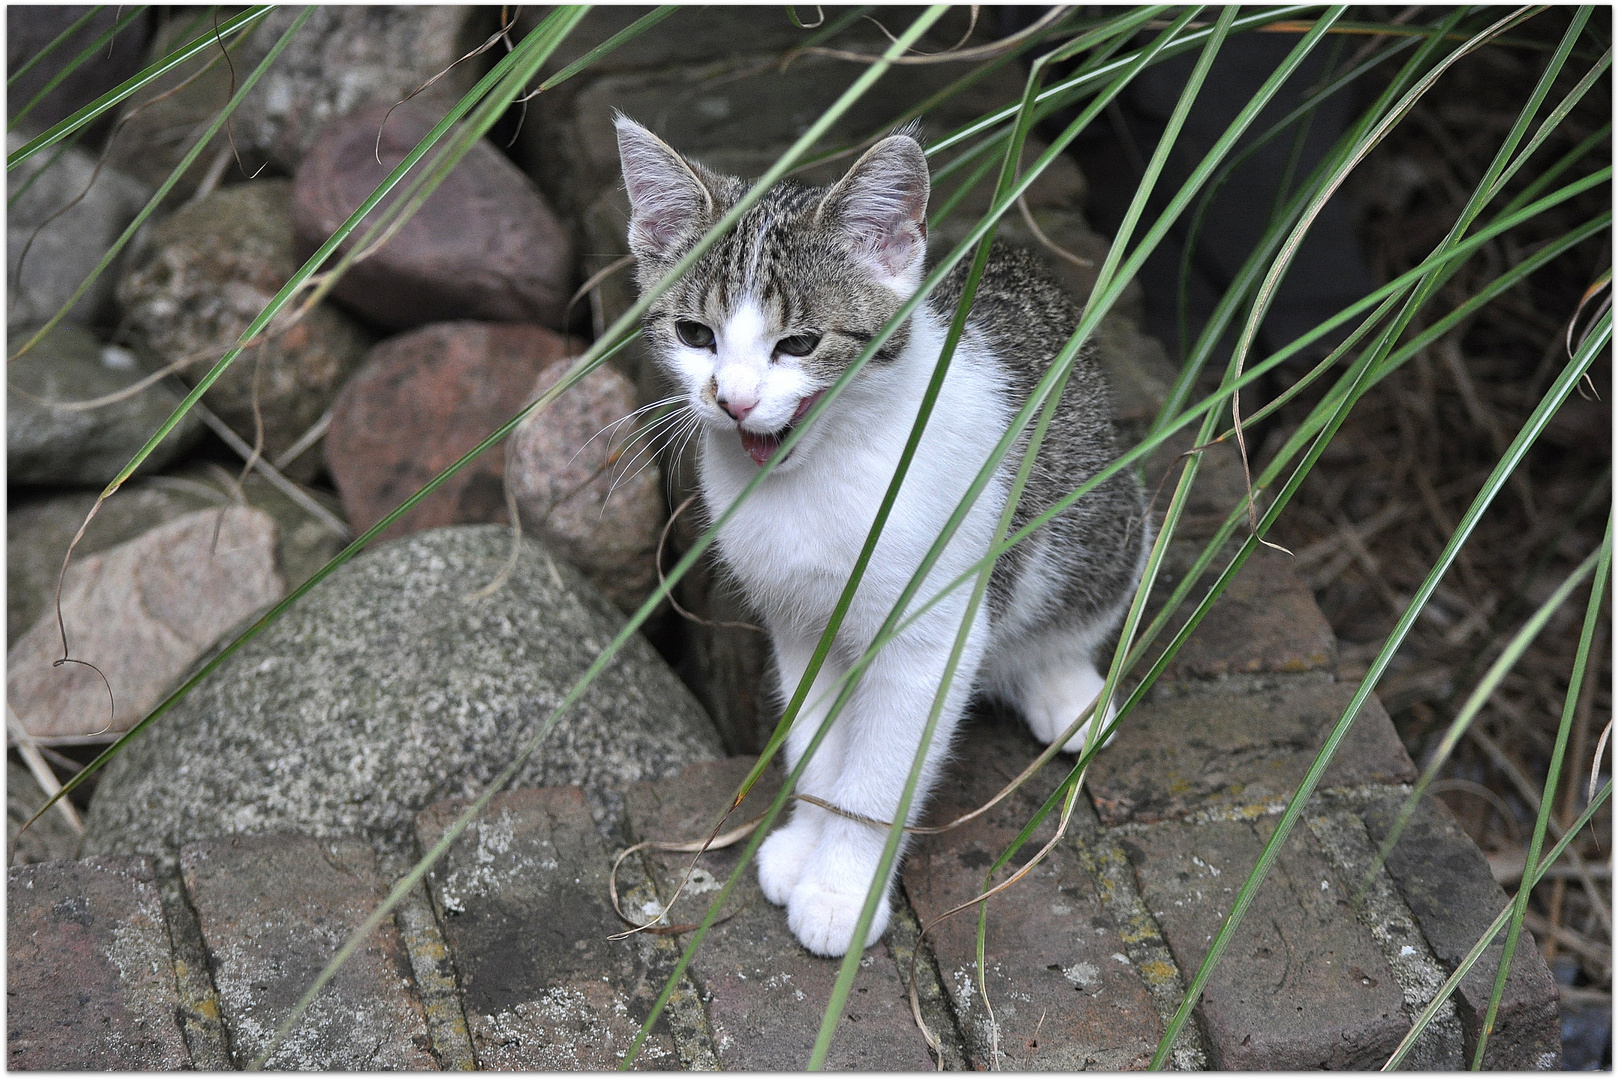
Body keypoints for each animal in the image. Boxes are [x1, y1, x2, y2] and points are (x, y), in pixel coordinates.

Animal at [608, 118, 1152, 958]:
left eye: (798, 345)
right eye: (694, 334)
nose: (734, 402)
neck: (817, 479)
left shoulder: (929, 635)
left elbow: (880, 774)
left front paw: (841, 888)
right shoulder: (797, 620)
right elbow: (814, 739)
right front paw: (806, 840)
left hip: (1100, 519)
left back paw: (1061, 687)